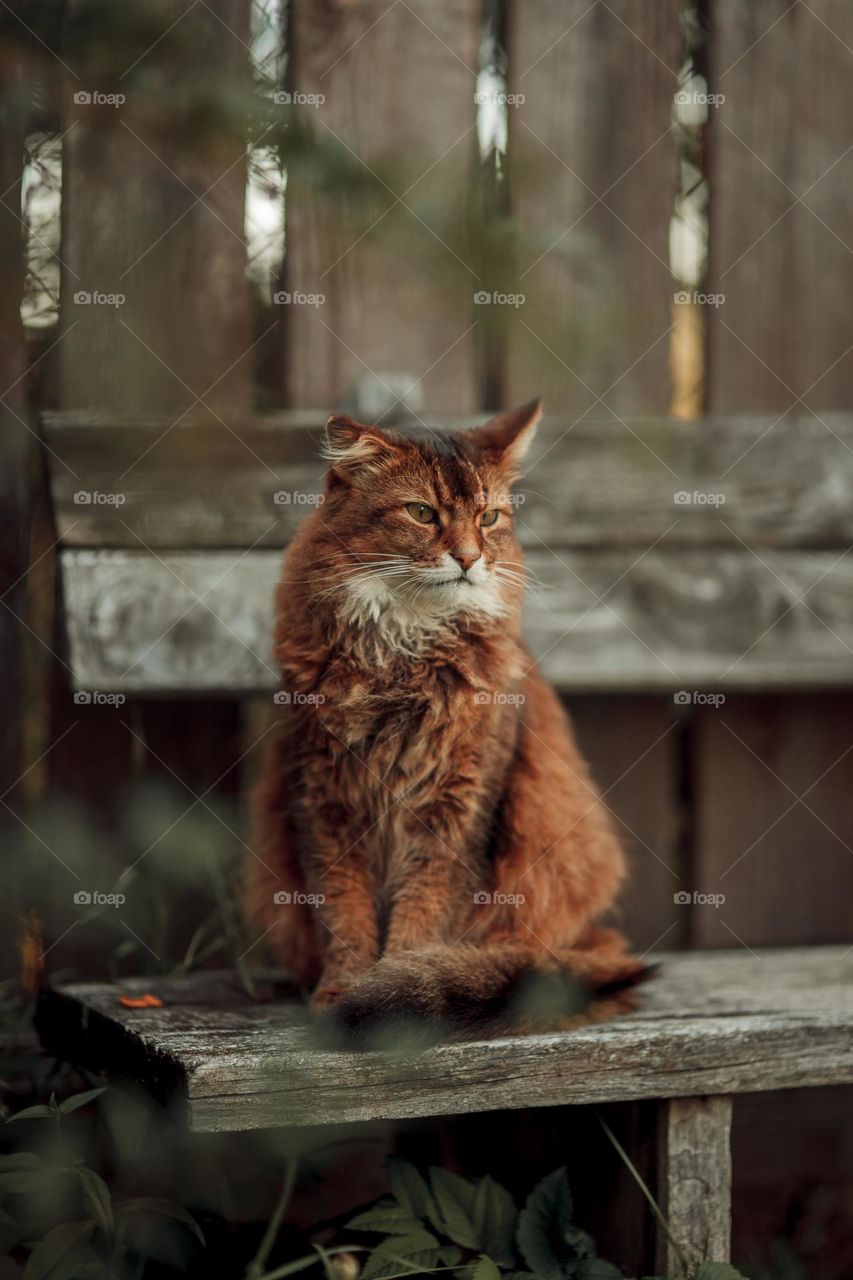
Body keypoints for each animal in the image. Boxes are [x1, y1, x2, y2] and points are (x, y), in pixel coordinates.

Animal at [245, 399, 645, 1039]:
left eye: (488, 518)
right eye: (422, 513)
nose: (468, 558)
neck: (404, 656)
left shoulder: (456, 806)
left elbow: (422, 915)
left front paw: (395, 998)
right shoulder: (323, 800)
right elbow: (343, 912)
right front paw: (342, 992)